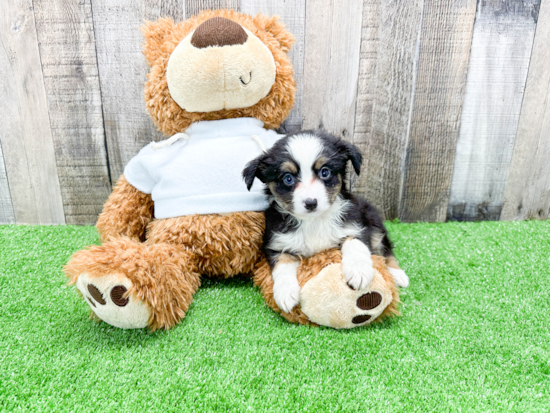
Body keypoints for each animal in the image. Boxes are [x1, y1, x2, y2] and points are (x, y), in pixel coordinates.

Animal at [243, 132, 410, 312]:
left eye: (325, 172)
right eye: (287, 178)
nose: (311, 203)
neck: (313, 221)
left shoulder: (356, 223)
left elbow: (355, 242)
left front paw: (358, 271)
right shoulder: (276, 242)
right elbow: (282, 263)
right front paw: (285, 293)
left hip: (373, 220)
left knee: (385, 248)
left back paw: (397, 274)